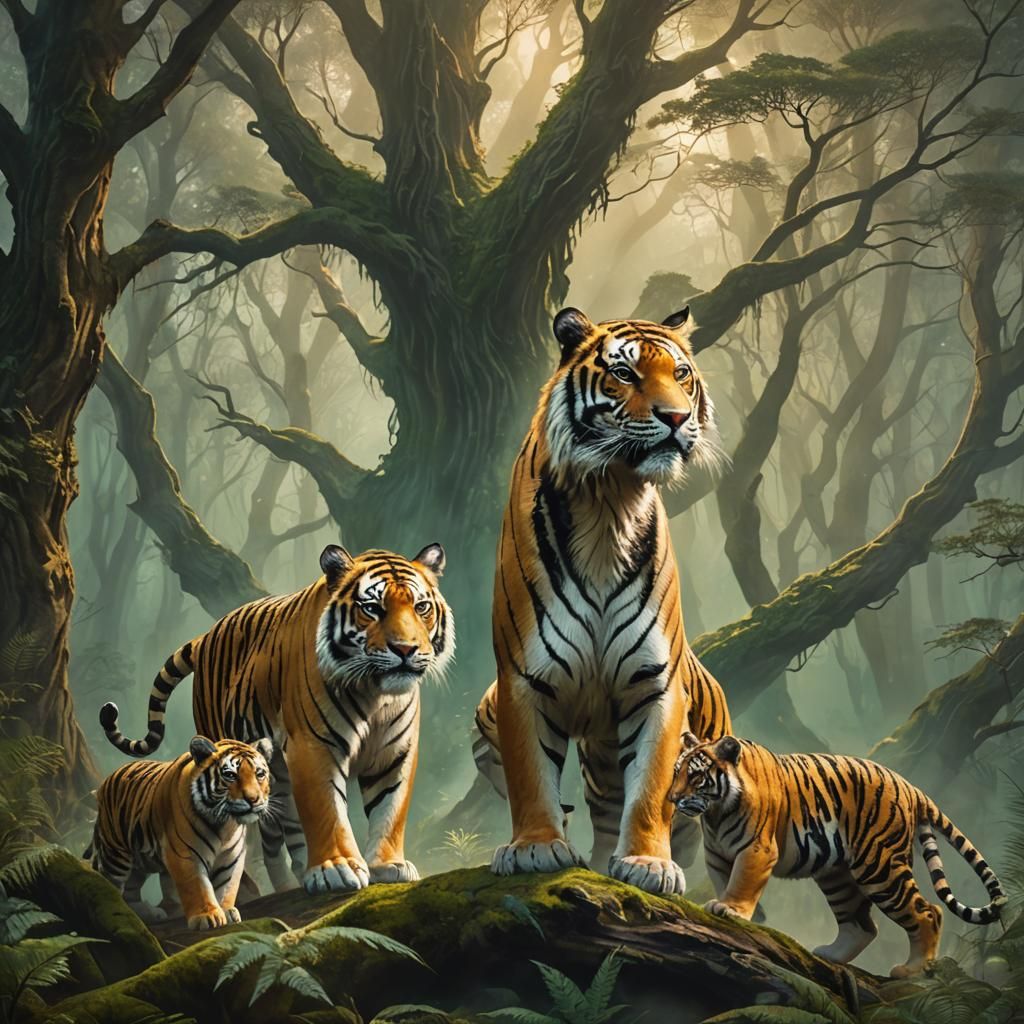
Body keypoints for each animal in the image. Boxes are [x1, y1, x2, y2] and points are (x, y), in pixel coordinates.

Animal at [86, 736, 273, 930]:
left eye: (259, 774)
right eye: (230, 775)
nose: (253, 799)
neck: (225, 824)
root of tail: (106, 781)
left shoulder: (232, 856)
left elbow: (227, 885)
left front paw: (226, 911)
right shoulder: (186, 854)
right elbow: (197, 886)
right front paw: (207, 916)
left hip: (140, 860)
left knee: (131, 889)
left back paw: (148, 914)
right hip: (115, 854)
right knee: (110, 883)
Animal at [100, 543, 453, 895]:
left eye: (421, 607)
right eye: (372, 608)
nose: (405, 650)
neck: (376, 694)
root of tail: (208, 633)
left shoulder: (395, 750)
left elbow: (390, 807)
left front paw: (388, 866)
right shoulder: (314, 746)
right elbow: (327, 810)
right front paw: (336, 868)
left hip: (277, 775)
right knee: (261, 835)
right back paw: (272, 887)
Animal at [474, 306, 731, 896]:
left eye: (681, 374)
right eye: (625, 374)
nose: (676, 418)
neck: (609, 500)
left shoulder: (657, 685)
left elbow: (653, 787)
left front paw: (648, 863)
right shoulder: (521, 680)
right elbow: (529, 774)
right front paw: (536, 848)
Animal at [667, 732, 1007, 977]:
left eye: (696, 776)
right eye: (676, 771)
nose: (672, 798)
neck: (716, 813)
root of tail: (910, 786)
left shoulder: (755, 849)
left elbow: (741, 882)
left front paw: (730, 910)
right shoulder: (717, 855)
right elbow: (725, 881)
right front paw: (728, 907)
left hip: (880, 867)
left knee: (927, 912)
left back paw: (912, 970)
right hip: (837, 875)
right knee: (862, 926)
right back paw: (830, 954)